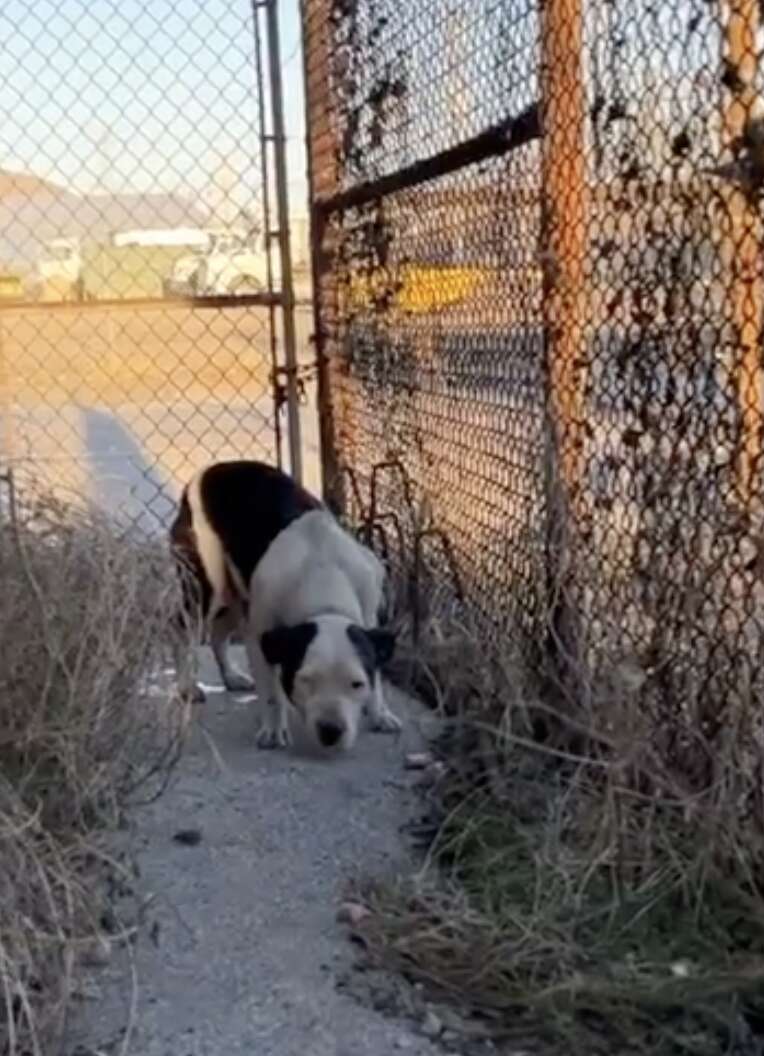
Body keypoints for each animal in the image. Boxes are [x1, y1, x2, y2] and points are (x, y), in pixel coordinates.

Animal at [171, 460, 403, 751]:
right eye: (305, 680)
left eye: (357, 684)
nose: (331, 731)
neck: (322, 577)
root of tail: (206, 472)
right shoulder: (260, 635)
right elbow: (272, 691)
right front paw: (273, 729)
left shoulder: (370, 623)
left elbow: (377, 675)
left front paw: (380, 713)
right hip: (205, 589)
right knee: (182, 634)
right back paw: (186, 687)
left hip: (235, 596)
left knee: (218, 634)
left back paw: (232, 676)